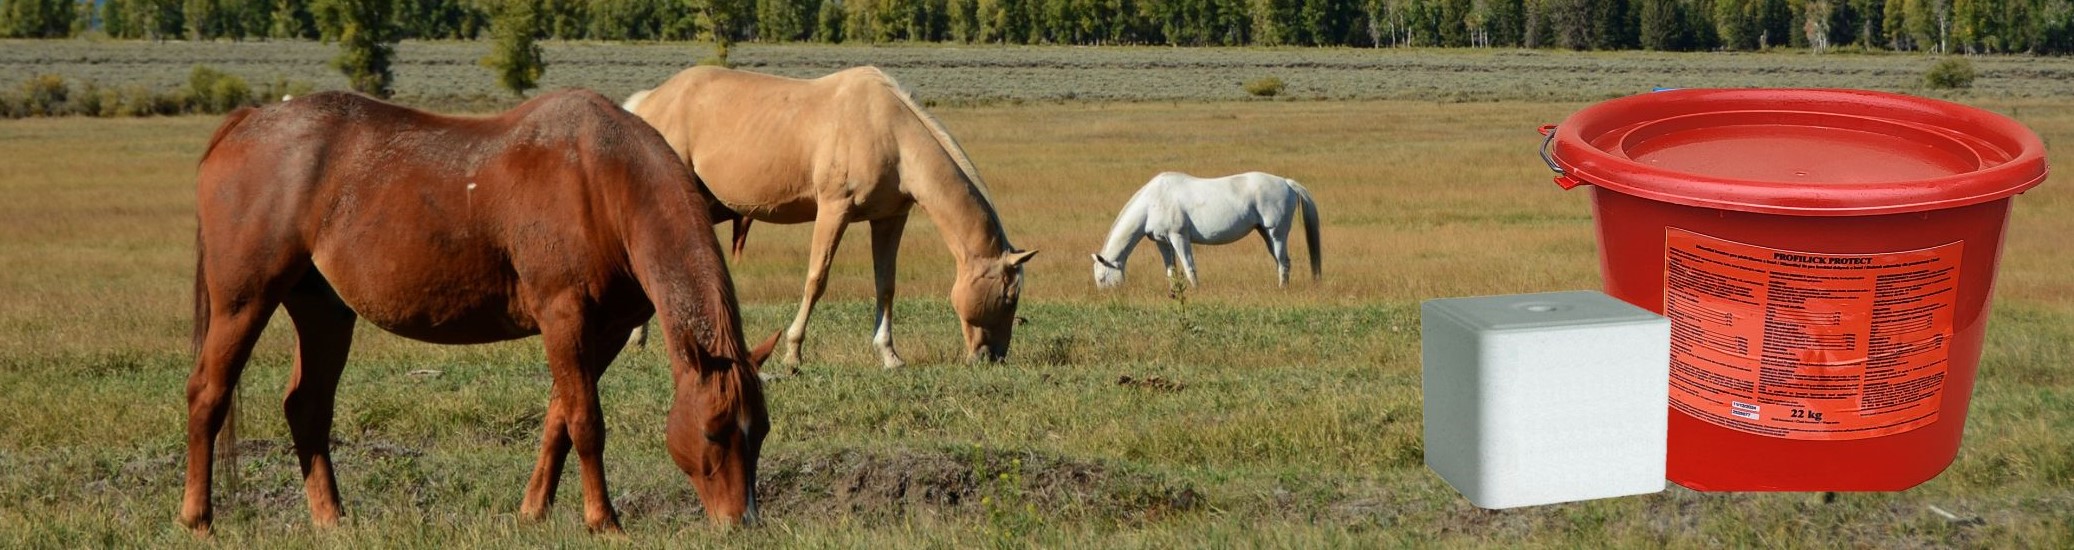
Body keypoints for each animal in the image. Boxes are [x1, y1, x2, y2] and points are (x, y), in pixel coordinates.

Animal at [184, 88, 771, 531]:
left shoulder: (604, 330)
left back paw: (331, 519)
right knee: (208, 394)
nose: (741, 522)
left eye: (760, 431)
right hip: (244, 301)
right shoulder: (563, 318)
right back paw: (198, 517)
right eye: (714, 432)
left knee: (306, 406)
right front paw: (603, 521)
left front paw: (534, 510)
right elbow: (585, 421)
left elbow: (559, 418)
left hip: (323, 312)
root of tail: (245, 121)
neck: (603, 181)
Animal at [613, 68, 1037, 367]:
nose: (992, 357)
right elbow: (817, 279)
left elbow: (886, 285)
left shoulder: (889, 219)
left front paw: (889, 355)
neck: (890, 132)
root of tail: (648, 101)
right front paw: (793, 353)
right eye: (1009, 296)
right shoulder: (834, 209)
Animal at [1095, 171, 1319, 288]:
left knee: (1284, 262)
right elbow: (1171, 270)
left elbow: (1189, 266)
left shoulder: (1179, 237)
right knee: (1280, 261)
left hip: (1277, 233)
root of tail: (1287, 183)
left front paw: (1195, 290)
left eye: (1102, 278)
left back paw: (1282, 288)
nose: (1108, 296)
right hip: (1265, 233)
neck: (1153, 201)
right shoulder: (1162, 242)